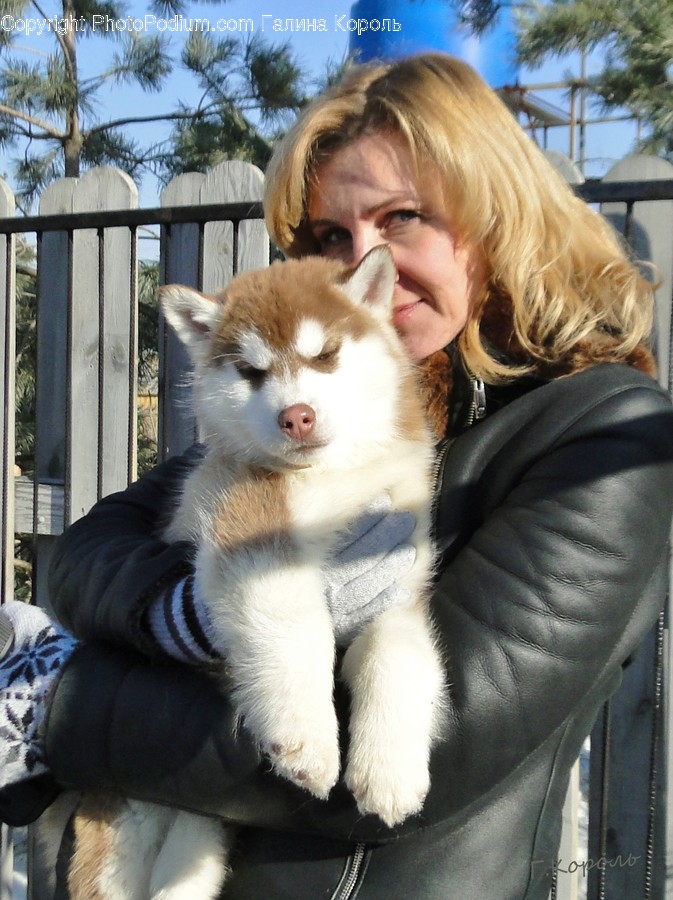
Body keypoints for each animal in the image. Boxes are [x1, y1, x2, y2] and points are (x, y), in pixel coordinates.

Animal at [69, 246, 446, 900]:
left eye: (325, 354)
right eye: (250, 371)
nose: (297, 417)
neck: (332, 481)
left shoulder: (397, 576)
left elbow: (398, 653)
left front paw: (391, 767)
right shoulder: (248, 528)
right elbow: (297, 624)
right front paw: (308, 736)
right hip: (119, 832)